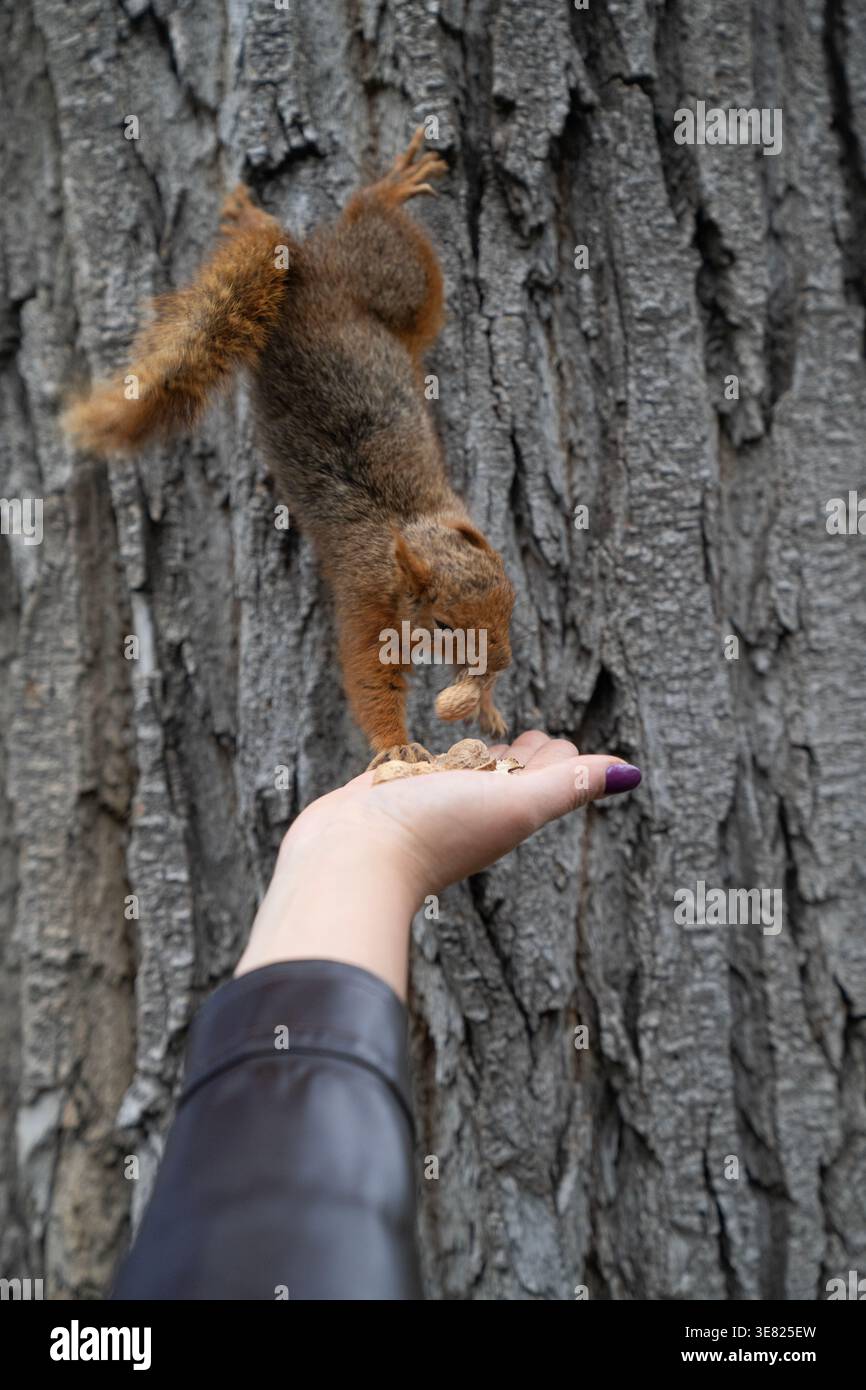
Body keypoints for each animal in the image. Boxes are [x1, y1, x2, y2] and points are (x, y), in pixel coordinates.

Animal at [62, 128, 514, 767]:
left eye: (510, 599)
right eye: (446, 627)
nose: (501, 662)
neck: (409, 536)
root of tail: (297, 280)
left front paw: (490, 702)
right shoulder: (366, 598)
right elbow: (369, 675)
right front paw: (397, 747)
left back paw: (268, 213)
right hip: (392, 283)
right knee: (382, 235)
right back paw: (384, 189)